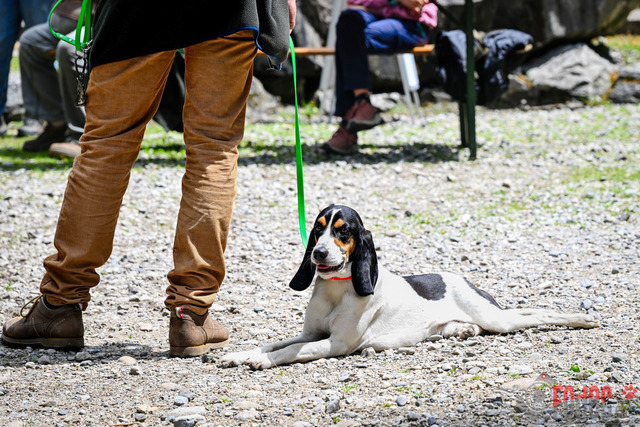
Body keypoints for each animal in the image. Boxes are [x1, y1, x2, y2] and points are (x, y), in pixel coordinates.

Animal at [220, 204, 598, 369]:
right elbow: (275, 342)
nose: (318, 253)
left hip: (498, 318)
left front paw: (260, 361)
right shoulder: (310, 334)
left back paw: (582, 319)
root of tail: (464, 279)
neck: (336, 290)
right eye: (317, 229)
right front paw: (241, 354)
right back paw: (461, 332)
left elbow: (288, 352)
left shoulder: (334, 343)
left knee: (538, 313)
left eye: (344, 231)